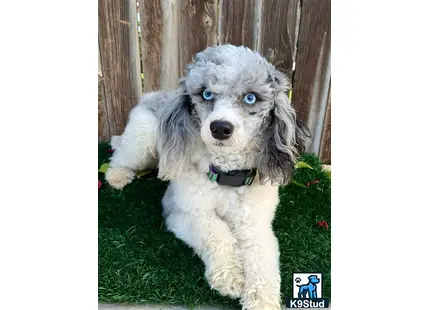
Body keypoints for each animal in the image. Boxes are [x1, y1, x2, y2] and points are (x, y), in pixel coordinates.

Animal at [106, 44, 310, 310]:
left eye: (250, 97)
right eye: (206, 93)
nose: (220, 128)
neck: (226, 177)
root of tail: (153, 95)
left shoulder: (254, 224)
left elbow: (263, 259)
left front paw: (262, 299)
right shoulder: (181, 213)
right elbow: (216, 231)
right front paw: (230, 277)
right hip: (141, 140)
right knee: (120, 156)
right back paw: (117, 176)